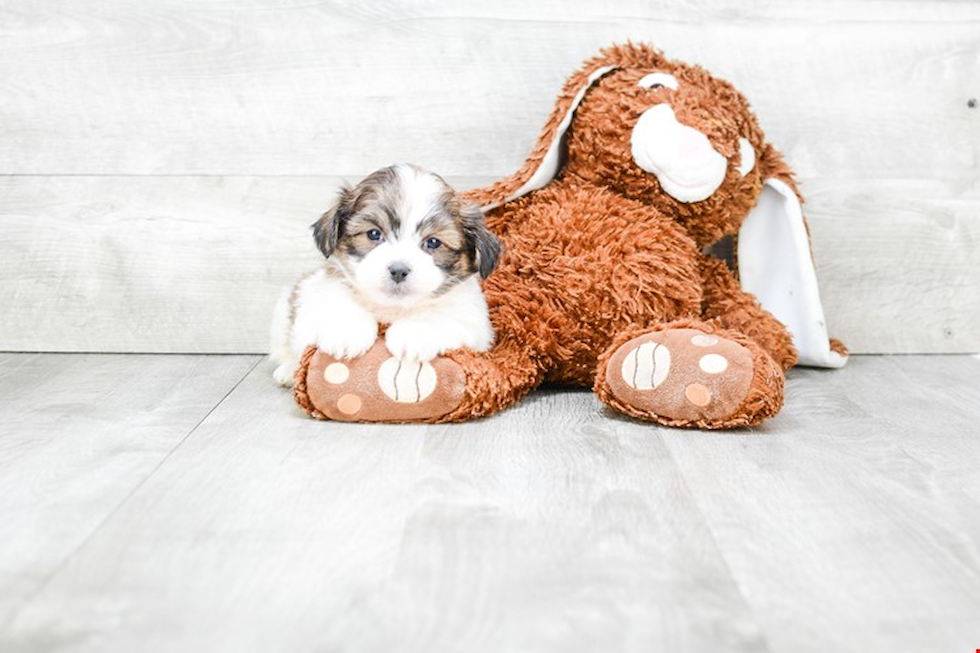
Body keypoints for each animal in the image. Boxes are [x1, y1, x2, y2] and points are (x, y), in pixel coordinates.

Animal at [272, 164, 502, 388]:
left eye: (433, 242)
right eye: (374, 234)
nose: (399, 270)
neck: (392, 307)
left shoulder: (475, 324)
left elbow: (439, 317)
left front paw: (414, 334)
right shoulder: (315, 297)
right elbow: (334, 305)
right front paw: (347, 331)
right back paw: (287, 372)